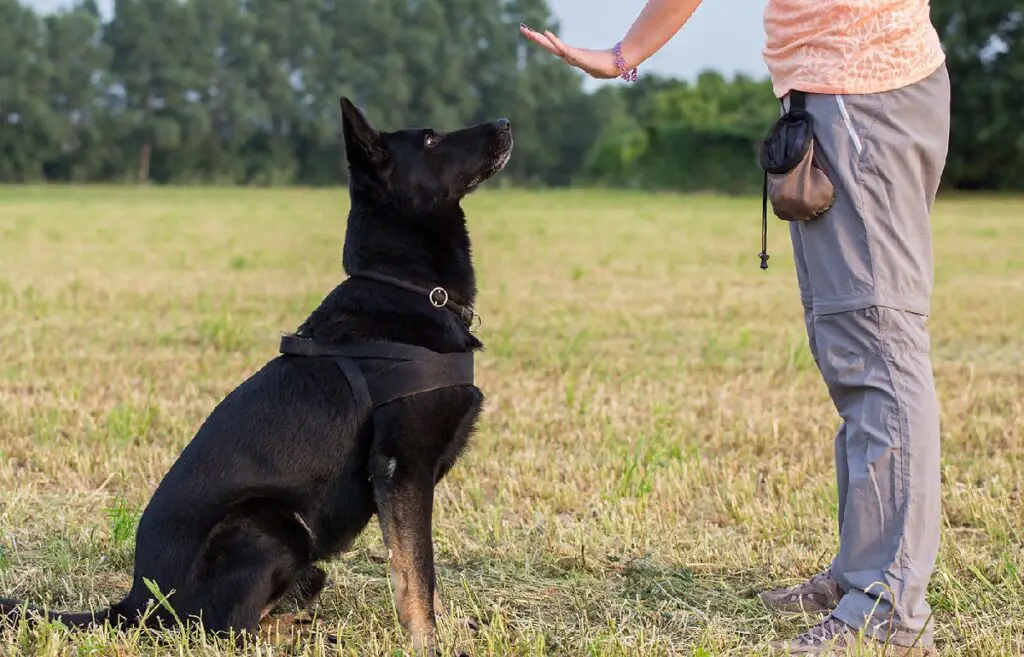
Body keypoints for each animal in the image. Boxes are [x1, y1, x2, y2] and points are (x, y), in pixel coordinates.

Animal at [0, 98, 512, 654]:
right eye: (432, 140)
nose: (505, 123)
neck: (409, 288)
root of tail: (137, 602)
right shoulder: (403, 469)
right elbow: (418, 570)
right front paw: (427, 642)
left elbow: (417, 568)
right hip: (271, 524)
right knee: (227, 629)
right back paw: (303, 634)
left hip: (303, 557)